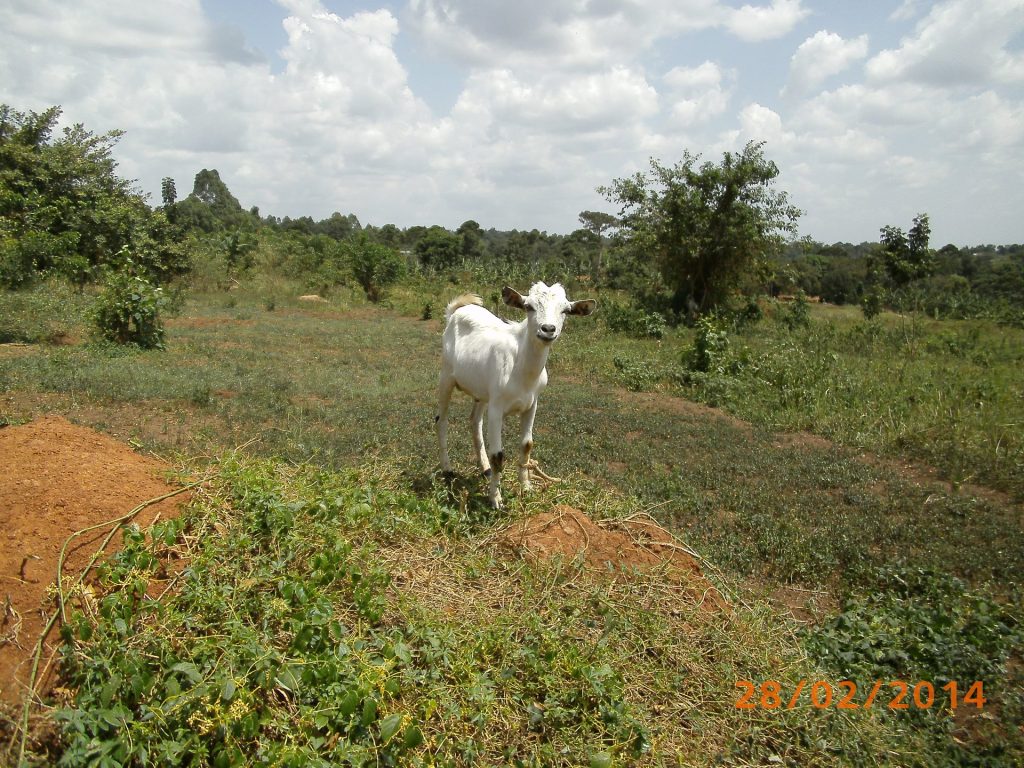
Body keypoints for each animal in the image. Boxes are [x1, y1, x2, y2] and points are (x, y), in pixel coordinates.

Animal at [437, 282, 597, 509]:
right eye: (528, 306)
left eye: (565, 310)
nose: (548, 329)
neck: (522, 369)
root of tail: (455, 311)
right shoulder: (496, 408)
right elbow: (498, 455)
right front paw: (496, 499)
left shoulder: (532, 404)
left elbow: (526, 445)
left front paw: (526, 487)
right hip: (446, 376)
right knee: (441, 420)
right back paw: (447, 469)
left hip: (482, 392)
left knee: (474, 422)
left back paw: (485, 468)